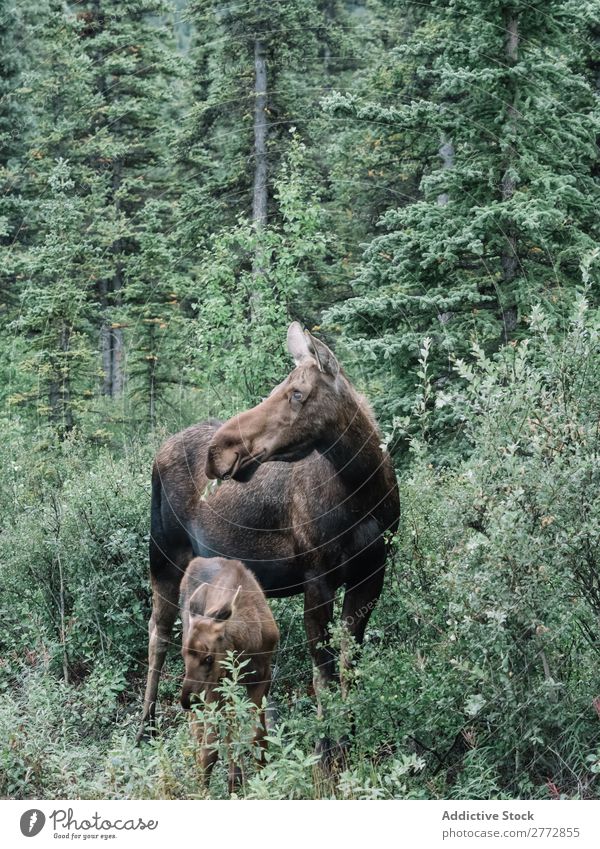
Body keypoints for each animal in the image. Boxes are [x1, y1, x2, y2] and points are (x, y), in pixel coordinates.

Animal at [138, 322, 396, 744]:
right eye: (279, 387)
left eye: (297, 393)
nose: (218, 451)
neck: (366, 493)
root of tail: (160, 450)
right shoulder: (317, 577)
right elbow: (323, 676)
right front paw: (327, 747)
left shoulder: (372, 575)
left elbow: (349, 668)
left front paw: (351, 736)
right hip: (163, 554)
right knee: (158, 631)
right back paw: (146, 724)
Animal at [179, 556, 280, 788]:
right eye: (183, 654)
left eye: (208, 657)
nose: (187, 700)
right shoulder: (215, 685)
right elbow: (211, 745)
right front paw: (202, 789)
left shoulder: (262, 677)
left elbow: (258, 736)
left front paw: (263, 779)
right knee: (201, 729)